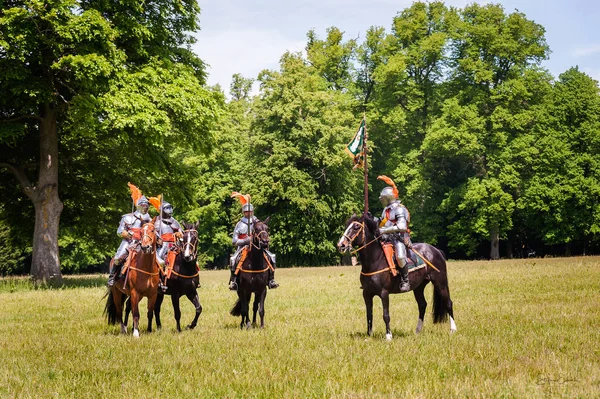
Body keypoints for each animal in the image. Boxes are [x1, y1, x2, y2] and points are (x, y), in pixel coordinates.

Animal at [338, 212, 454, 340]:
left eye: (356, 227)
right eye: (347, 226)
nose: (341, 245)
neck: (375, 260)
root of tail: (437, 251)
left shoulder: (384, 293)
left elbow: (386, 315)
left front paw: (388, 336)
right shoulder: (367, 294)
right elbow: (369, 314)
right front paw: (369, 335)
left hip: (440, 283)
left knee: (448, 303)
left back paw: (453, 330)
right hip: (419, 287)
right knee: (422, 305)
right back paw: (417, 330)